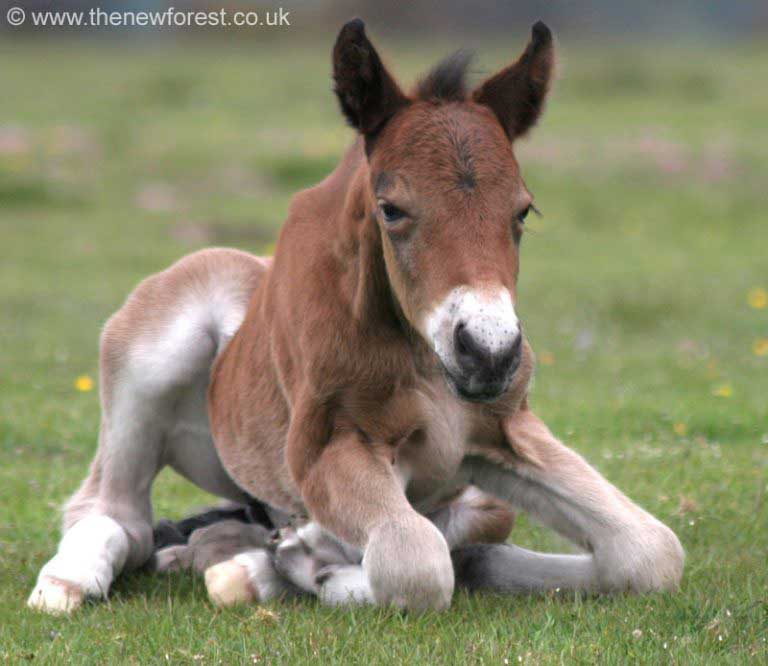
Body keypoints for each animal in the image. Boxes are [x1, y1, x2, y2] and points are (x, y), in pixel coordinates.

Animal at [28, 19, 684, 612]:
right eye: (391, 208)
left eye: (523, 211)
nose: (489, 351)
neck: (424, 361)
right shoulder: (330, 445)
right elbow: (417, 564)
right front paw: (317, 564)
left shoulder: (507, 430)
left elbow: (651, 551)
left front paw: (300, 556)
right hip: (165, 341)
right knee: (115, 512)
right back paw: (68, 584)